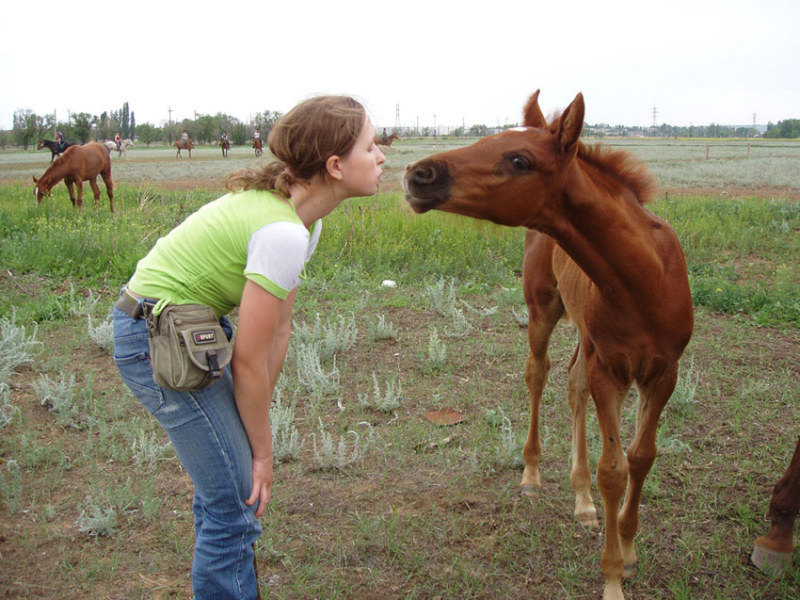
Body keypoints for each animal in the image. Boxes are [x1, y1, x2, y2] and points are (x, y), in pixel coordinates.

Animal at [406, 90, 692, 600]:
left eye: (519, 159)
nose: (419, 175)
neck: (646, 281)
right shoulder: (610, 371)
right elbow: (613, 468)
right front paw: (612, 577)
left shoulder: (663, 374)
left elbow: (640, 458)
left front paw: (628, 547)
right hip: (543, 311)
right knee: (538, 374)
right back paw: (533, 474)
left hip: (587, 336)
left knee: (573, 384)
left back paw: (582, 501)